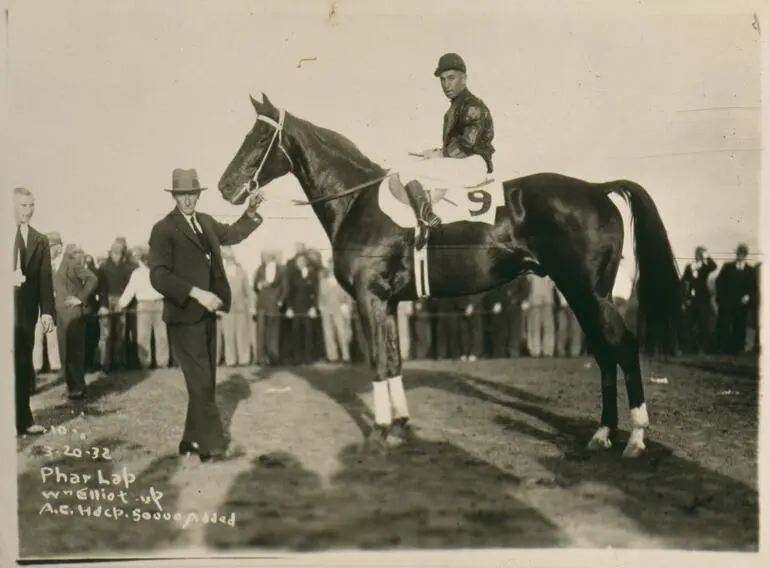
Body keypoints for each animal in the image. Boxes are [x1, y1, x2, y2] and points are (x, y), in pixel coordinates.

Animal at [218, 93, 680, 458]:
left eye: (258, 138)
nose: (225, 187)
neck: (357, 203)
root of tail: (597, 189)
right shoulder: (388, 302)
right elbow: (394, 361)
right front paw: (401, 427)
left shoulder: (370, 298)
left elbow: (378, 363)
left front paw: (380, 432)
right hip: (580, 292)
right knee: (604, 352)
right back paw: (602, 434)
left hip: (588, 293)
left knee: (624, 346)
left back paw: (636, 438)